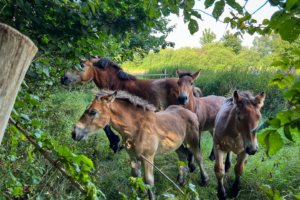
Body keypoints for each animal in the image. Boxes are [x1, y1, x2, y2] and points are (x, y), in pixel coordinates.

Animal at [61, 56, 202, 172]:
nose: (63, 78)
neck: (116, 82)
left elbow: (106, 127)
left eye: (82, 65)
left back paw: (191, 165)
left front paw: (115, 144)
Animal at [70, 90, 207, 198]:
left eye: (93, 112)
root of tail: (191, 113)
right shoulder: (133, 157)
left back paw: (204, 180)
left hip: (192, 142)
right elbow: (136, 178)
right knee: (183, 155)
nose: (74, 133)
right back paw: (182, 181)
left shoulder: (148, 158)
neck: (137, 128)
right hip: (176, 145)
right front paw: (142, 195)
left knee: (199, 157)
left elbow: (149, 181)